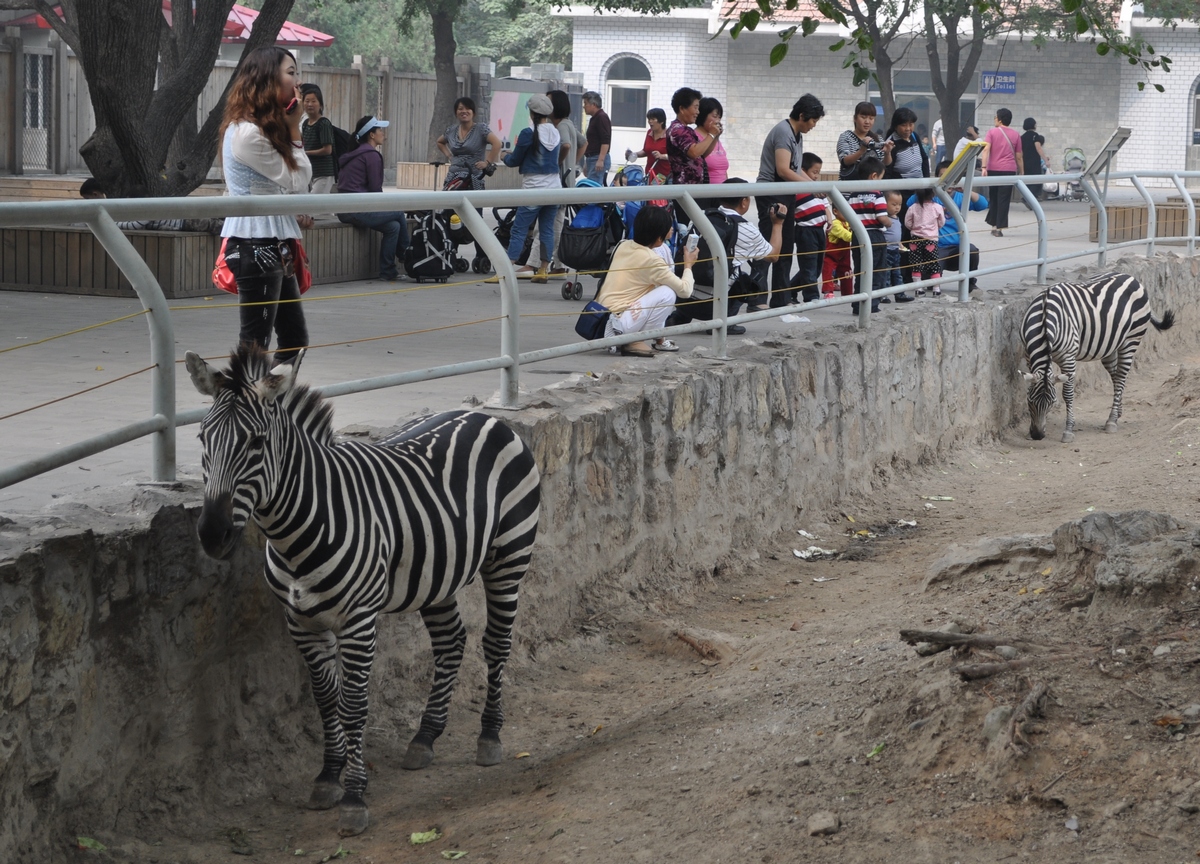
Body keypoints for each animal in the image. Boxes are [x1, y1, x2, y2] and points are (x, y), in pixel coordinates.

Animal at [182, 343, 540, 835]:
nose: (212, 535)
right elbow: (326, 700)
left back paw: (489, 736)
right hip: (437, 574)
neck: (300, 529)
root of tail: (484, 417)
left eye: (256, 443)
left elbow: (353, 705)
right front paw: (328, 777)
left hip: (508, 558)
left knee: (496, 643)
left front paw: (353, 797)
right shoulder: (301, 622)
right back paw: (425, 738)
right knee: (451, 641)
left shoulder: (358, 622)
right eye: (202, 439)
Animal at [1017, 271, 1176, 446]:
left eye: (1052, 403)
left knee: (1121, 376)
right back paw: (1117, 413)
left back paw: (1112, 421)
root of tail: (1133, 278)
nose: (1037, 435)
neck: (1045, 316)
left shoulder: (1068, 357)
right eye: (1030, 401)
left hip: (1131, 339)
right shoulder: (1028, 354)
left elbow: (1068, 394)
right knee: (1116, 377)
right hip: (1109, 347)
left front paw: (1068, 430)